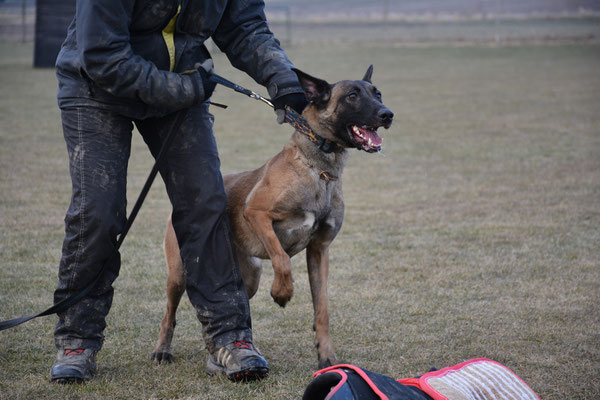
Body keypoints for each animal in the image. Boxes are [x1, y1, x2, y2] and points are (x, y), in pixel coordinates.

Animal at [151, 66, 394, 368]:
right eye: (352, 96)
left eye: (377, 94)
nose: (387, 114)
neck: (318, 170)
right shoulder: (256, 213)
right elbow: (281, 258)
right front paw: (282, 292)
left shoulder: (319, 251)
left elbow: (322, 309)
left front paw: (326, 355)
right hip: (179, 274)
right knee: (168, 313)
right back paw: (162, 350)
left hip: (249, 277)